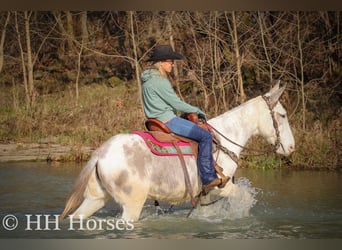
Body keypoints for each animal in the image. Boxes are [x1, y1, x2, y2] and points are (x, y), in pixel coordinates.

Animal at [60, 82, 296, 221]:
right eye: (283, 115)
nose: (292, 147)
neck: (226, 137)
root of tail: (100, 153)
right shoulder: (221, 187)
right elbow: (245, 197)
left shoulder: (205, 194)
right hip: (131, 205)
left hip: (95, 199)